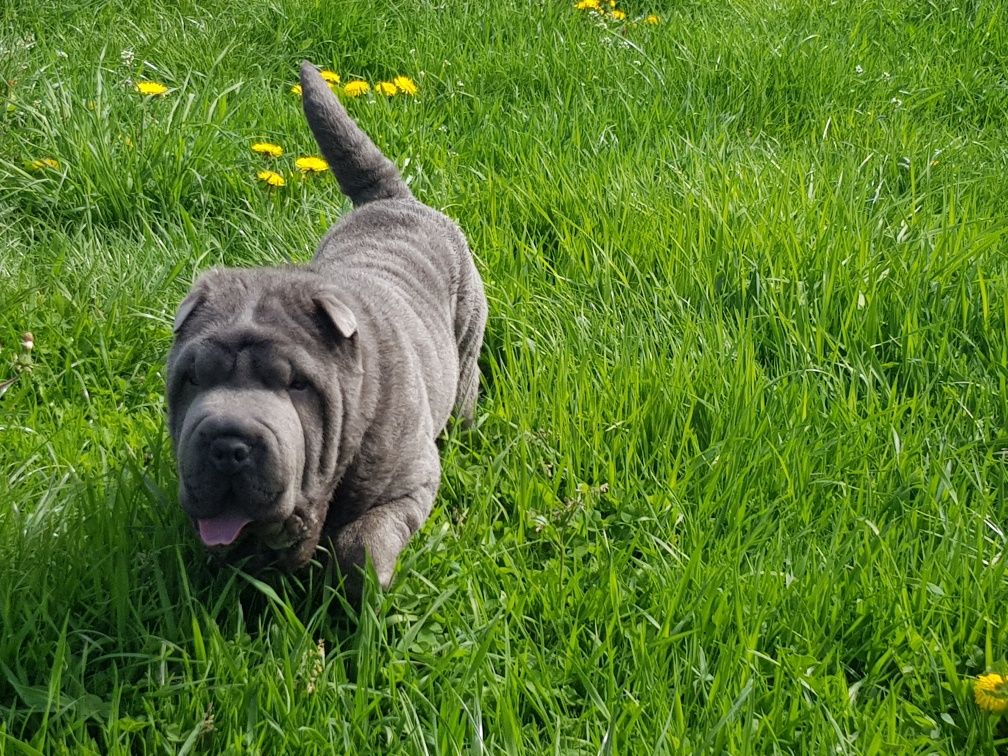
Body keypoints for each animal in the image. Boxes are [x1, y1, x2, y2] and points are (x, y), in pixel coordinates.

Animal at [166, 60, 487, 592]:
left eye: (296, 384)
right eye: (193, 379)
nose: (227, 444)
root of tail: (393, 199)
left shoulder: (407, 484)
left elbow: (362, 544)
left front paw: (365, 592)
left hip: (465, 350)